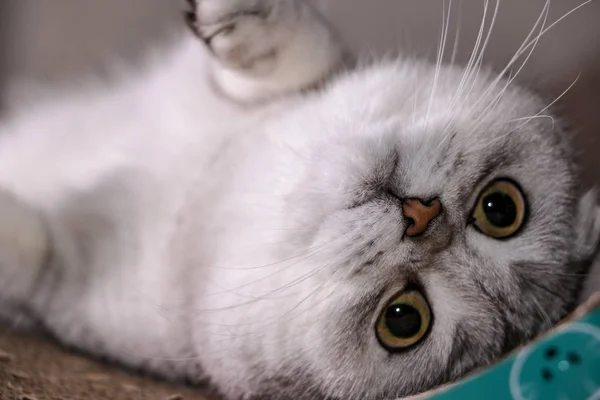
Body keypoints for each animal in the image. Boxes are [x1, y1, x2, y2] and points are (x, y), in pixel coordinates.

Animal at [0, 0, 596, 400]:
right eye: (501, 209)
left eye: (404, 320)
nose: (421, 217)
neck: (214, 182)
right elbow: (314, 53)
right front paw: (242, 20)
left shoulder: (74, 293)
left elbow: (32, 253)